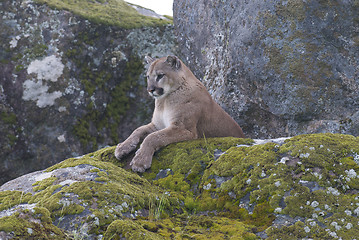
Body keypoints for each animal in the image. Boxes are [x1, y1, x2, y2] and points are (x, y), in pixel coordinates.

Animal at [115, 55, 245, 172]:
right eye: (148, 76)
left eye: (160, 75)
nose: (150, 90)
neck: (164, 101)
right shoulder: (157, 124)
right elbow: (138, 129)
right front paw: (122, 147)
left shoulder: (183, 129)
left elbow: (153, 137)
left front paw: (140, 161)